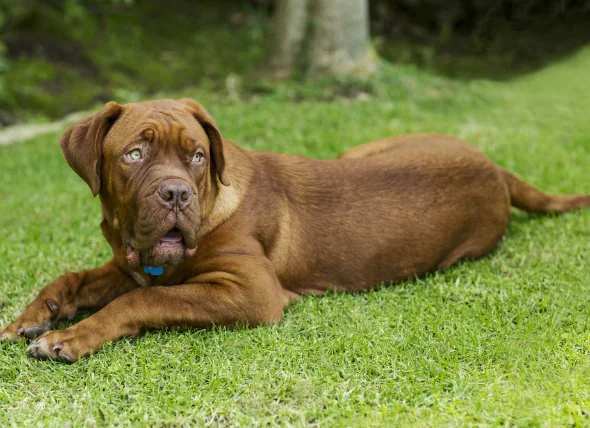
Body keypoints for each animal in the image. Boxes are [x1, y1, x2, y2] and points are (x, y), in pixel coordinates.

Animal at [1, 99, 590, 362]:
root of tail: (496, 167)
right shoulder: (131, 264)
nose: (175, 194)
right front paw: (31, 318)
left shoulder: (250, 292)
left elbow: (139, 302)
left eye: (197, 156)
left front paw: (71, 336)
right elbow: (72, 279)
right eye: (135, 155)